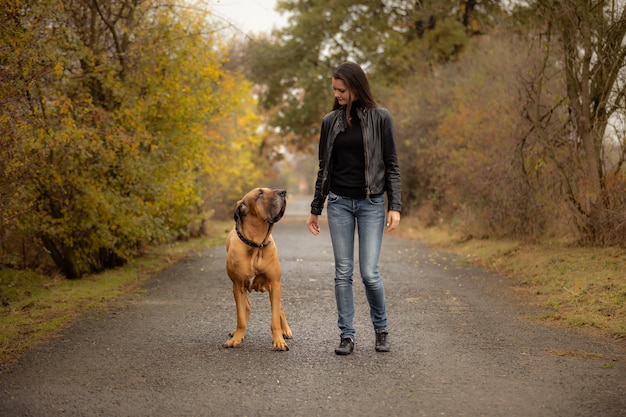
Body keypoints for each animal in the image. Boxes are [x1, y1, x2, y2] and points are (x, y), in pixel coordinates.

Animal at [224, 187, 292, 350]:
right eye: (260, 193)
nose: (283, 191)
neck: (256, 244)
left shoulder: (274, 283)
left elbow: (275, 318)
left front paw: (279, 341)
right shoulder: (238, 285)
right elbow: (241, 318)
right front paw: (236, 338)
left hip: (274, 287)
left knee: (280, 308)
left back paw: (286, 330)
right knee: (246, 307)